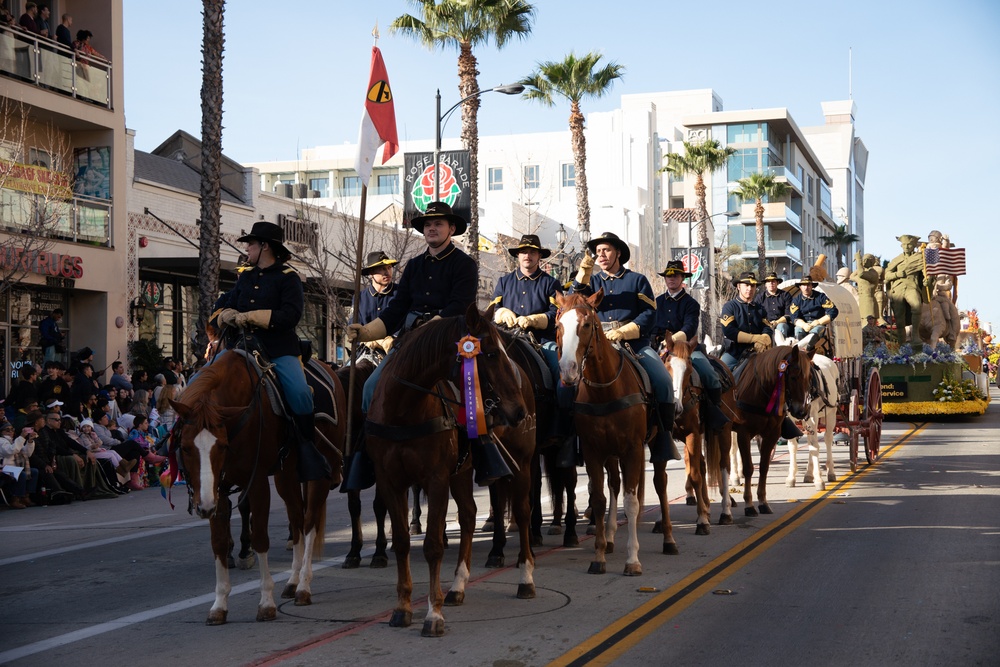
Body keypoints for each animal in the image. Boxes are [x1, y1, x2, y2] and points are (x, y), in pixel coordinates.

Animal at [170, 350, 346, 628]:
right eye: (186, 447)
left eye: (221, 446)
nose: (203, 507)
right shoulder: (218, 489)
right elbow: (219, 543)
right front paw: (219, 604)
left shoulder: (257, 482)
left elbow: (260, 538)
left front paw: (266, 602)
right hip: (286, 476)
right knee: (296, 519)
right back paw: (293, 581)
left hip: (320, 472)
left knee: (308, 523)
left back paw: (303, 586)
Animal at [366, 302, 536, 636]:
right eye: (491, 354)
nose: (518, 411)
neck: (404, 409)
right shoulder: (391, 482)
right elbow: (402, 543)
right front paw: (403, 608)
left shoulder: (436, 480)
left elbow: (433, 544)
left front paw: (433, 614)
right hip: (462, 472)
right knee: (469, 515)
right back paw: (457, 586)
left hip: (521, 463)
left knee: (523, 514)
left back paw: (526, 579)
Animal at [552, 292, 676, 576]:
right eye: (558, 325)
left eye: (587, 325)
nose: (568, 370)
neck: (605, 389)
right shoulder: (593, 451)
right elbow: (599, 499)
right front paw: (598, 555)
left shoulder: (632, 450)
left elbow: (631, 503)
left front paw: (633, 560)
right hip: (611, 454)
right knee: (615, 484)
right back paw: (609, 538)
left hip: (655, 445)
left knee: (660, 484)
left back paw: (668, 539)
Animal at [732, 344, 816, 516]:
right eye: (793, 377)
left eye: (810, 378)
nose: (802, 412)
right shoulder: (743, 433)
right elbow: (749, 468)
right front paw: (749, 504)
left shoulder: (771, 435)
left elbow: (764, 467)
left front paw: (763, 502)